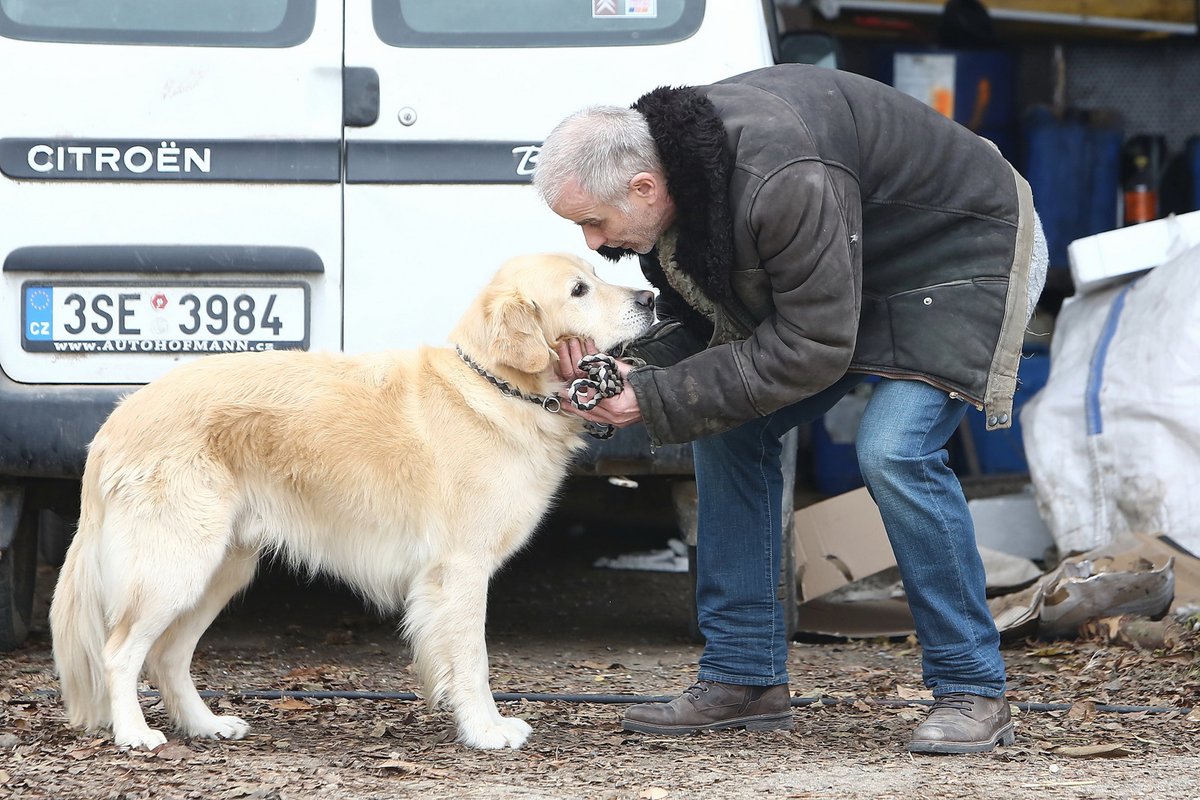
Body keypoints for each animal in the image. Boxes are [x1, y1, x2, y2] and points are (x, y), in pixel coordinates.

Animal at [49, 255, 657, 753]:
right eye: (580, 289)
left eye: (598, 273)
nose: (650, 299)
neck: (496, 388)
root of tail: (115, 422)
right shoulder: (461, 571)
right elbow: (474, 660)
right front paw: (486, 731)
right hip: (176, 564)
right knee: (120, 651)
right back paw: (134, 734)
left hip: (221, 569)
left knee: (168, 655)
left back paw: (206, 725)